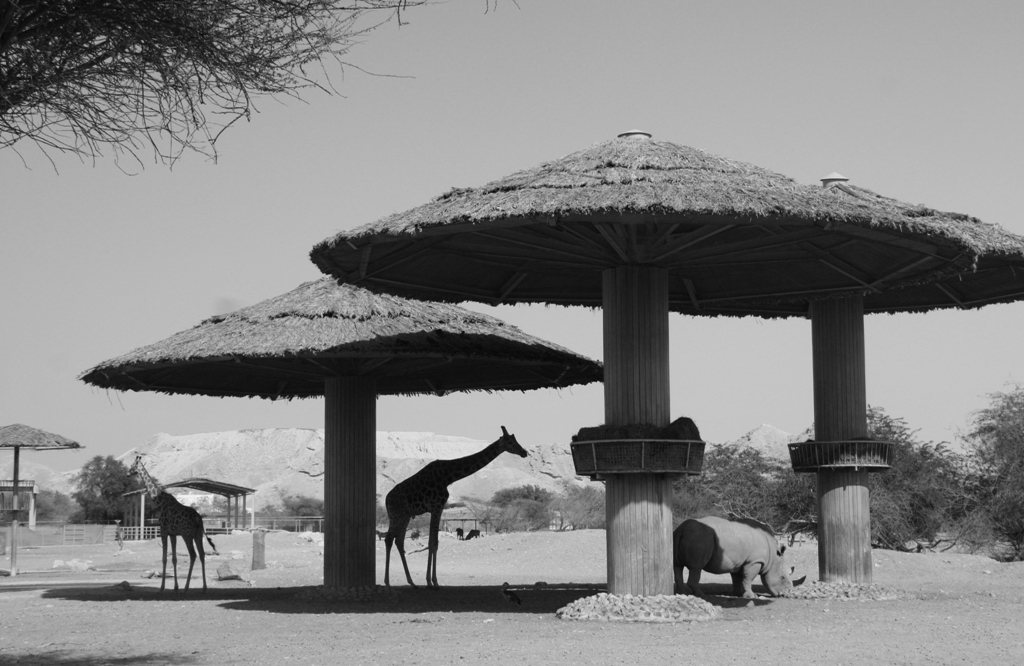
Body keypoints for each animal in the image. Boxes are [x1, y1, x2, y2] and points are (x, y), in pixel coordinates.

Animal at [128, 452, 218, 590]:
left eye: (132, 465)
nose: (127, 473)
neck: (158, 501)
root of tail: (198, 519)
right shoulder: (173, 534)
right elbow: (174, 558)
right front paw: (175, 587)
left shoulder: (164, 531)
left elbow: (164, 558)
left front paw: (162, 587)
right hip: (197, 534)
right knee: (202, 554)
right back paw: (203, 587)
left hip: (187, 535)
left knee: (193, 555)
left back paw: (186, 587)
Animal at [385, 426, 528, 586]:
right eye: (510, 442)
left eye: (515, 439)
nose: (524, 452)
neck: (448, 476)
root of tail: (386, 499)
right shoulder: (436, 506)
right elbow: (432, 543)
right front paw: (432, 582)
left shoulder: (437, 508)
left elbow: (434, 542)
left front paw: (431, 581)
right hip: (396, 515)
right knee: (389, 539)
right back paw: (388, 583)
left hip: (405, 516)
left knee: (399, 541)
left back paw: (411, 582)